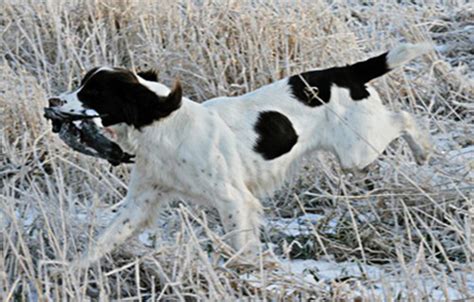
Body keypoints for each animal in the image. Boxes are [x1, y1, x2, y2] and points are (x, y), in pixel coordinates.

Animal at [49, 43, 434, 266]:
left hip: (358, 150)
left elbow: (239, 247)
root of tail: (347, 71)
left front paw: (245, 272)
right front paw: (70, 273)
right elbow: (102, 242)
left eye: (92, 93)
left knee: (404, 118)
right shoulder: (141, 202)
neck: (163, 123)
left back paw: (424, 152)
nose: (52, 101)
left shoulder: (234, 199)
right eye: (81, 84)